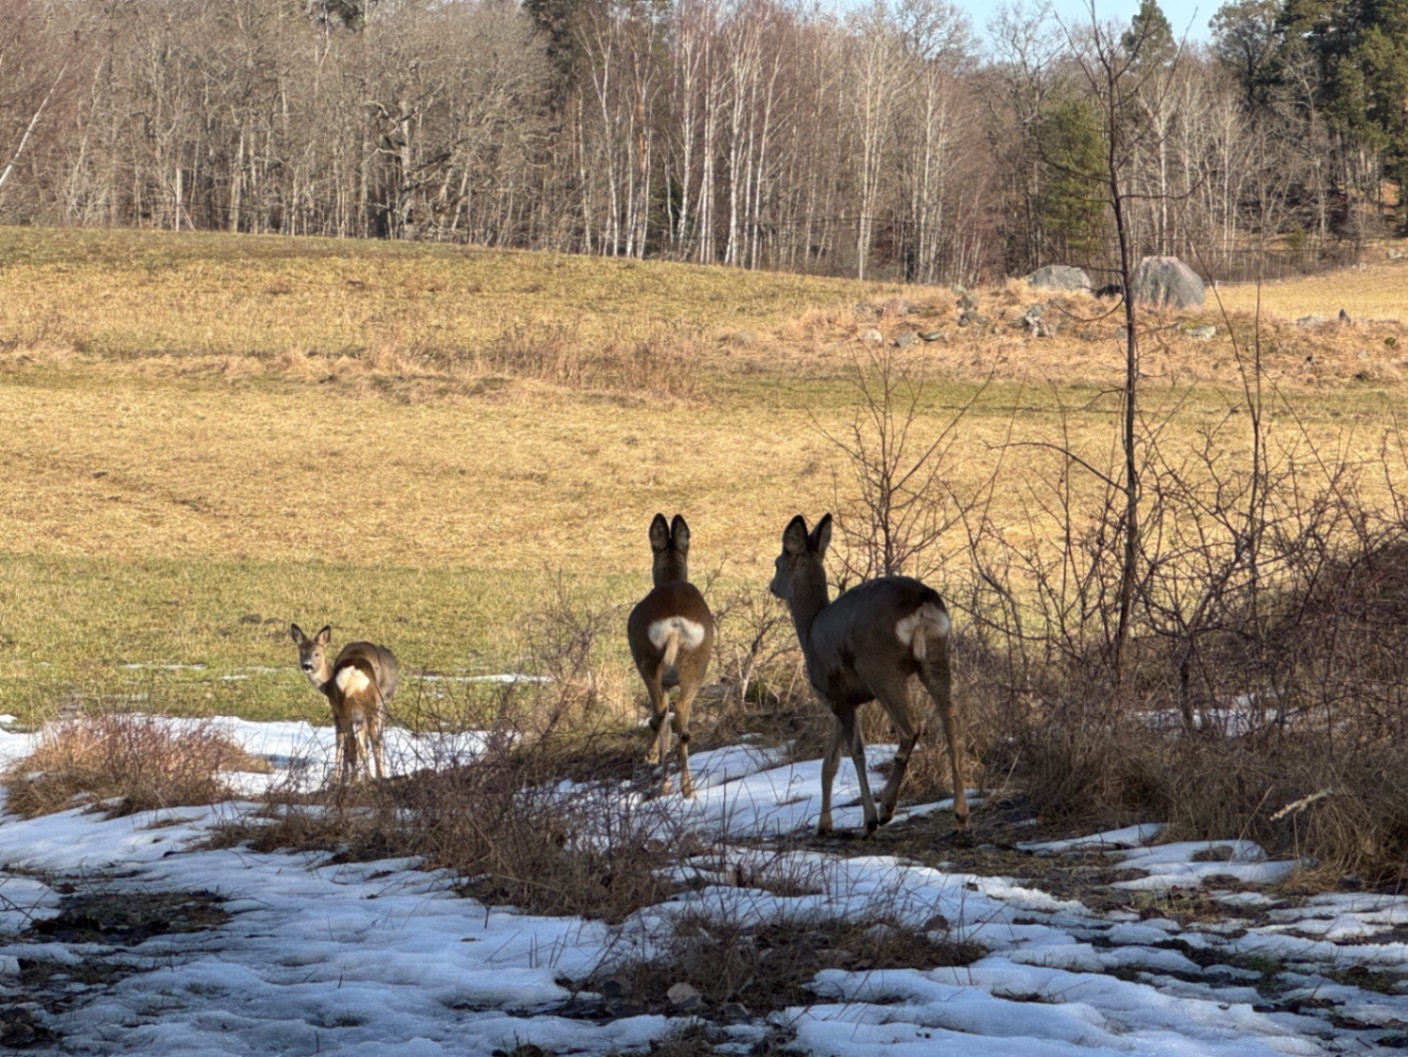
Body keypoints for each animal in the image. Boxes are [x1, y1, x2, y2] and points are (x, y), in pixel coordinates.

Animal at [290, 623, 399, 784]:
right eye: (301, 652)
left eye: (317, 653)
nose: (307, 666)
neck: (327, 685)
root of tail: (353, 673)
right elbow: (360, 744)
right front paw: (359, 777)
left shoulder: (335, 708)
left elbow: (342, 742)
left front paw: (338, 779)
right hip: (368, 705)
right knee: (370, 739)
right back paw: (370, 778)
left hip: (363, 705)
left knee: (366, 739)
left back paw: (365, 778)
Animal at [626, 513, 715, 798]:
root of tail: (675, 624)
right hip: (697, 666)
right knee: (681, 723)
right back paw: (687, 789)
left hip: (647, 660)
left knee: (662, 714)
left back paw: (652, 758)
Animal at [769, 513, 967, 838]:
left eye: (778, 562)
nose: (772, 586)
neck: (808, 631)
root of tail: (923, 601)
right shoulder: (839, 700)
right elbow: (829, 762)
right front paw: (824, 825)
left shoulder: (837, 695)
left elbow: (856, 752)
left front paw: (867, 821)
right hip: (936, 656)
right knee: (951, 722)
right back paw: (961, 815)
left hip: (880, 666)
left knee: (910, 728)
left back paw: (886, 809)